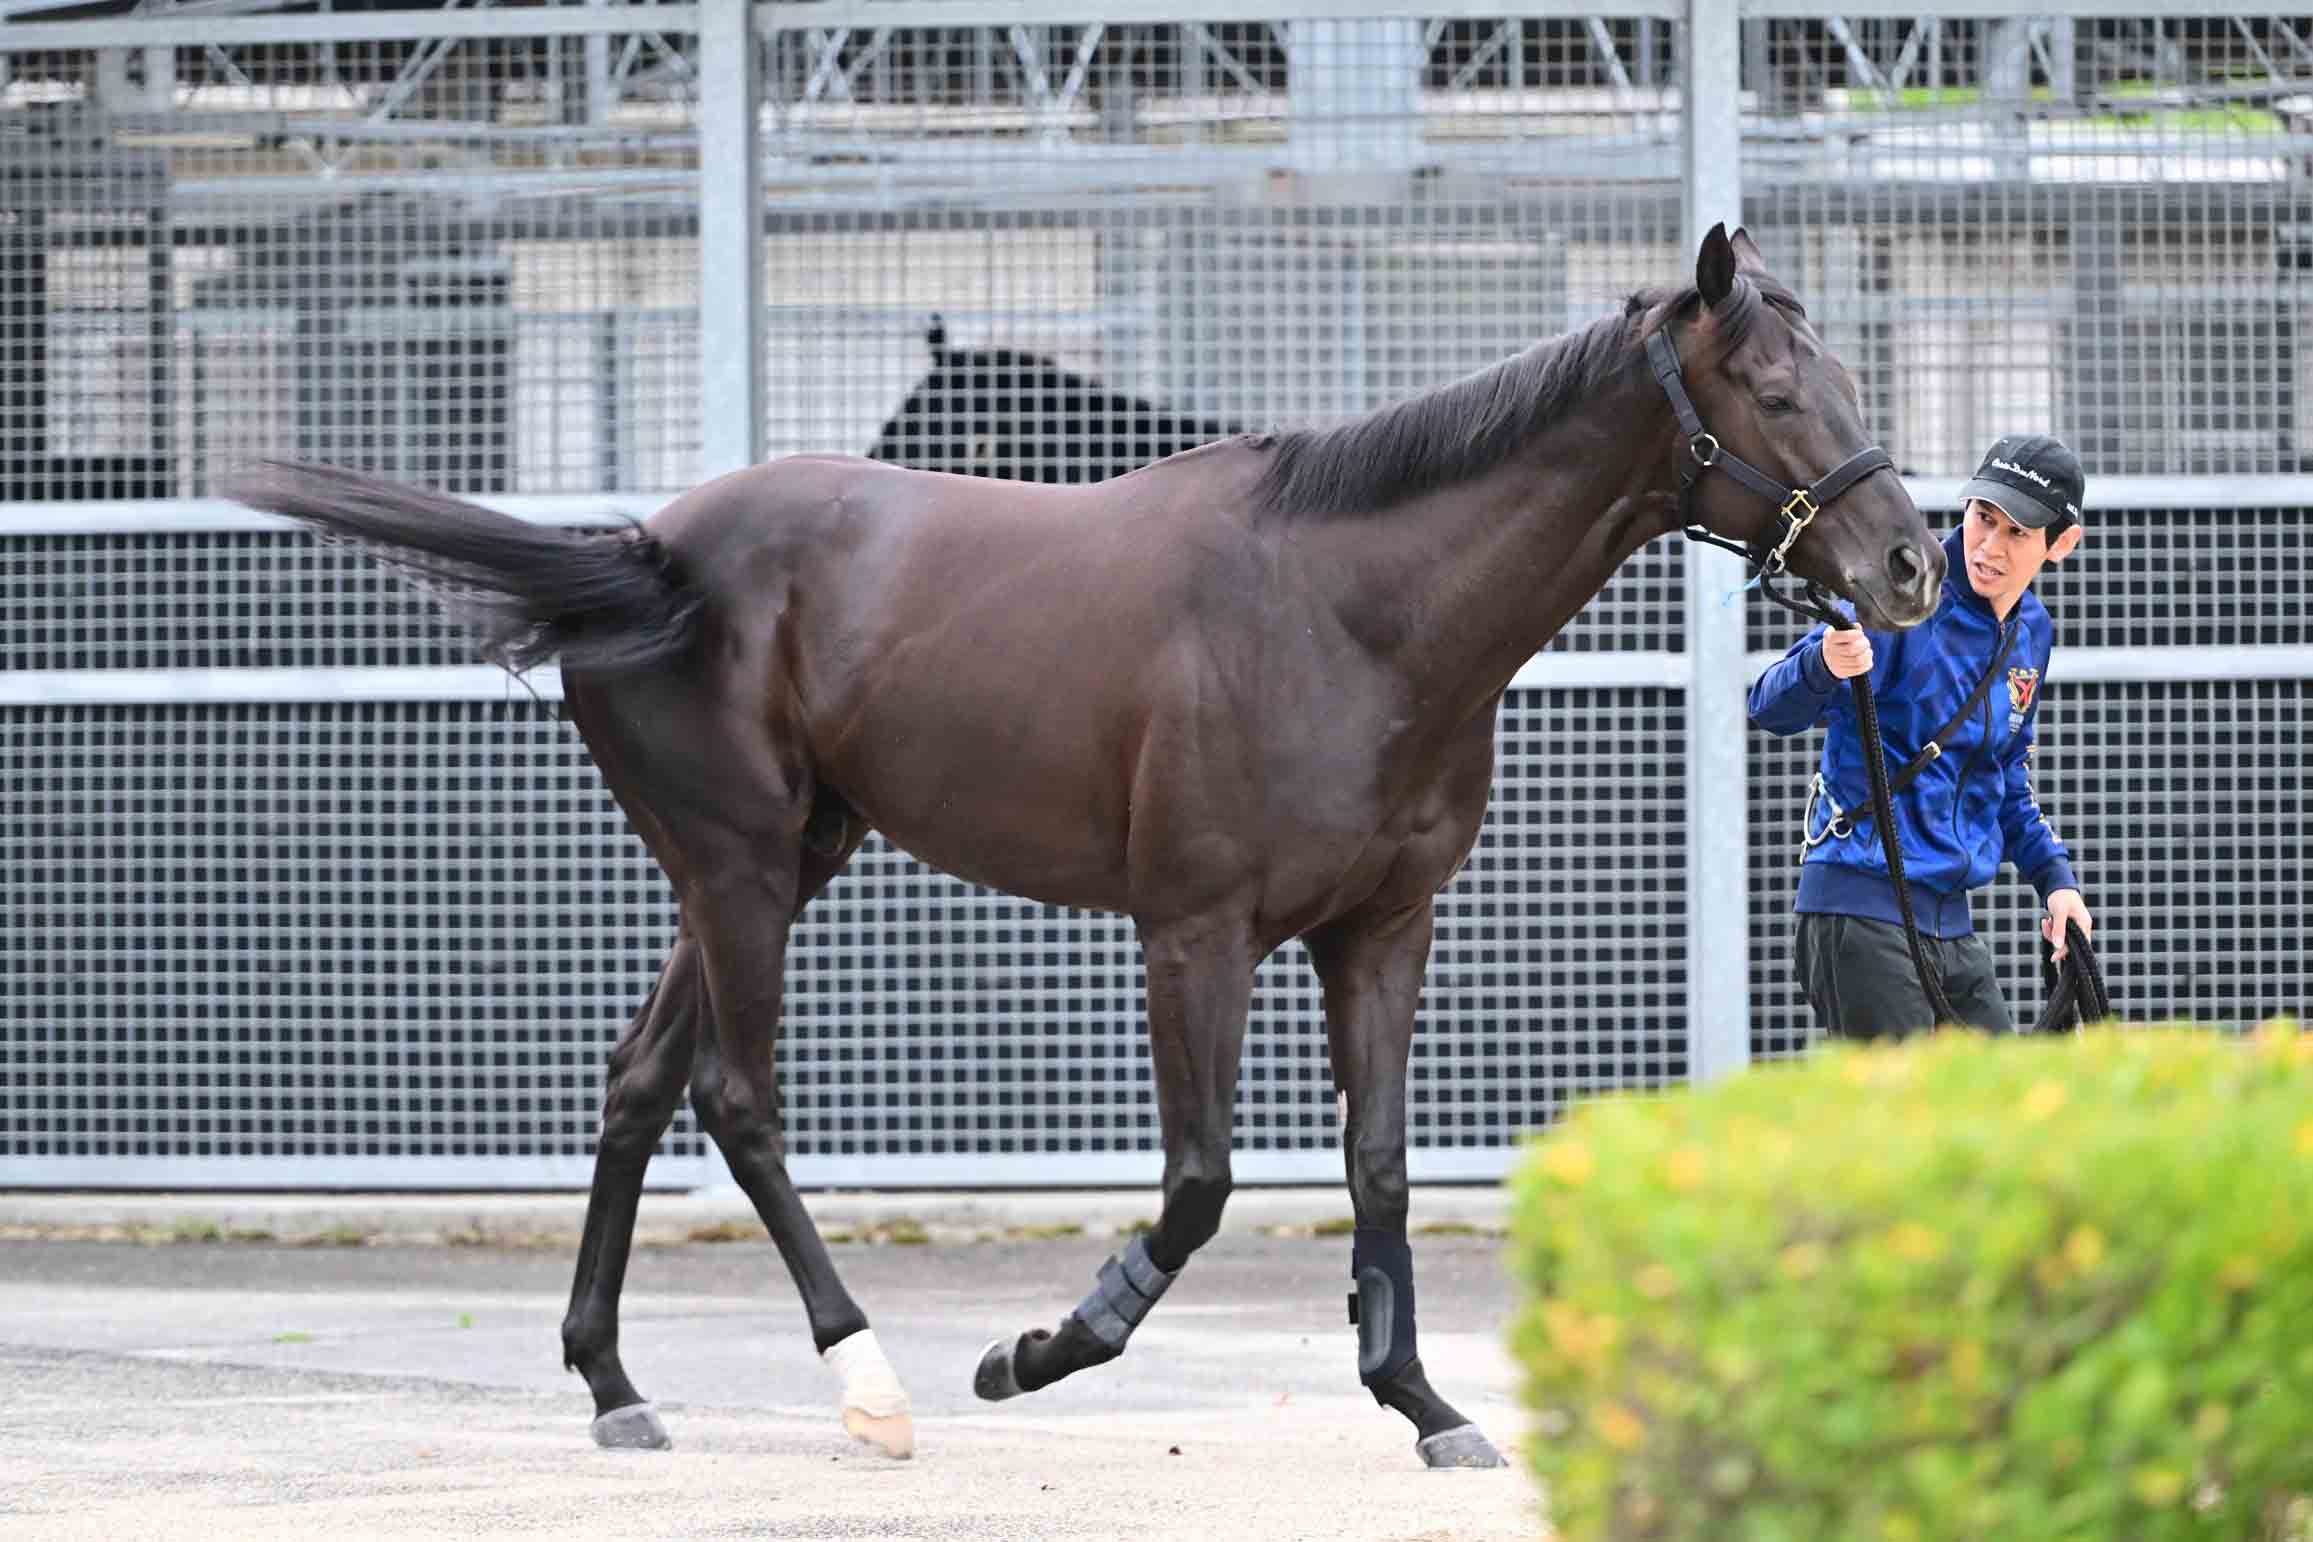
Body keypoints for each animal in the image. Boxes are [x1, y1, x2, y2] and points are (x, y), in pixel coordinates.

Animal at [226, 224, 1946, 1471]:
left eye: (1845, 373)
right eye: (1772, 390)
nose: (1912, 567)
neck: (1349, 612)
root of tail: (647, 551)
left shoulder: (1380, 933)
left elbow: (1379, 1165)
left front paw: (1429, 1406)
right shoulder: (1193, 931)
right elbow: (1195, 1184)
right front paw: (1037, 1349)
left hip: (781, 857)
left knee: (640, 1079)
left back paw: (611, 1382)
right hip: (739, 866)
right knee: (735, 1097)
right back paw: (869, 1381)